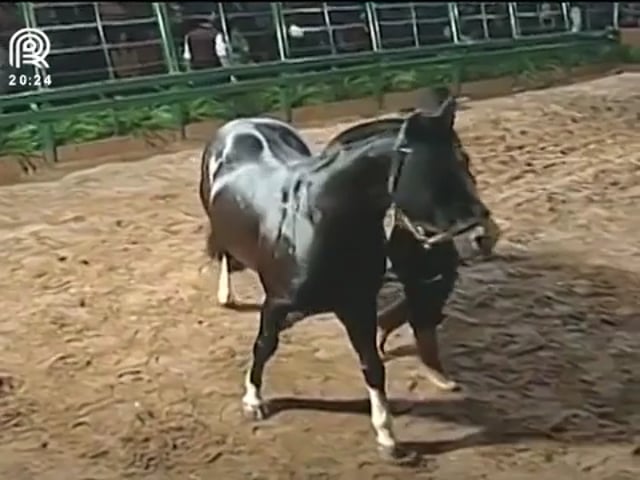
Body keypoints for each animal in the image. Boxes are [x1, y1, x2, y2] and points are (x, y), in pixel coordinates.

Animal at [200, 98, 490, 458]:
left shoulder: (358, 305)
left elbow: (372, 366)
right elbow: (264, 346)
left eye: (465, 162)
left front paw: (387, 437)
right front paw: (253, 401)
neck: (317, 221)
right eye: (430, 172)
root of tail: (240, 124)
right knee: (226, 252)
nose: (482, 236)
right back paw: (226, 296)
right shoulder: (276, 302)